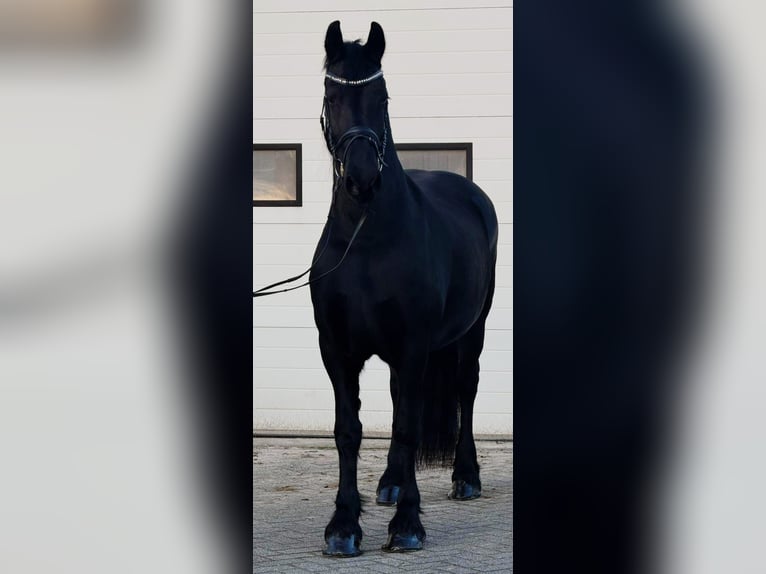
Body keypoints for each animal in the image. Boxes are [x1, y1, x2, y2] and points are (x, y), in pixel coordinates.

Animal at [310, 21, 498, 556]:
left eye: (383, 96)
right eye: (332, 95)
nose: (361, 178)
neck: (367, 240)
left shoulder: (413, 346)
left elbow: (410, 428)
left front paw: (408, 524)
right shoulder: (337, 350)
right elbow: (348, 431)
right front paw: (343, 526)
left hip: (470, 333)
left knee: (465, 390)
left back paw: (465, 477)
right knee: (397, 401)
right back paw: (391, 484)